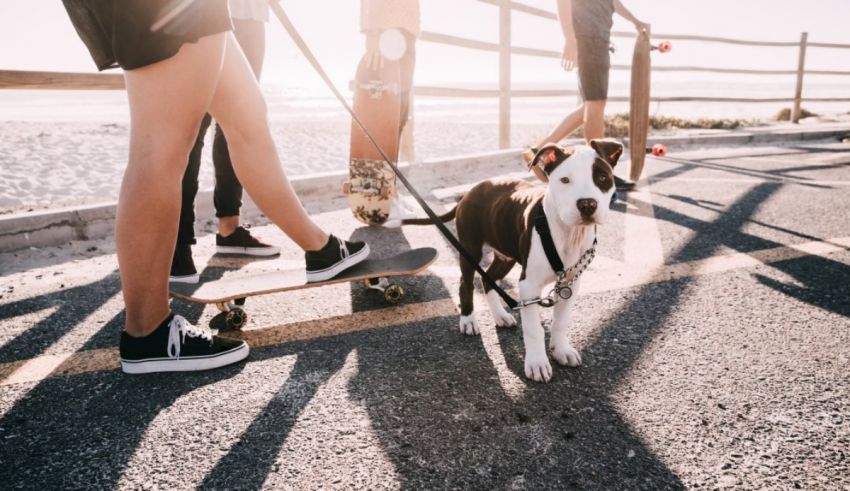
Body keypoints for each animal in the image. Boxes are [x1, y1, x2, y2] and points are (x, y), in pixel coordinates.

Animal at [400, 139, 620, 384]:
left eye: (602, 178)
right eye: (564, 180)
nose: (587, 204)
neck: (568, 233)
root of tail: (471, 190)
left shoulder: (569, 284)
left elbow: (561, 321)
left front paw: (561, 350)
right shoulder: (529, 286)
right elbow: (534, 329)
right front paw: (537, 363)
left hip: (505, 255)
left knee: (488, 281)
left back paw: (501, 316)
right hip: (470, 249)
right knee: (466, 283)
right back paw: (468, 320)